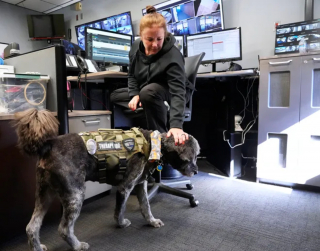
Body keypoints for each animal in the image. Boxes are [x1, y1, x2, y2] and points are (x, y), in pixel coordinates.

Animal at [13, 108, 200, 251]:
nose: (196, 171)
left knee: (31, 227)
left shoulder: (141, 185)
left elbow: (146, 207)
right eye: (190, 158)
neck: (153, 144)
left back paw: (38, 247)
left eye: (197, 156)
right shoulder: (125, 187)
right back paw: (77, 245)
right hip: (75, 195)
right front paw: (122, 224)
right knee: (64, 229)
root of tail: (48, 146)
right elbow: (120, 210)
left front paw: (152, 222)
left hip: (45, 194)